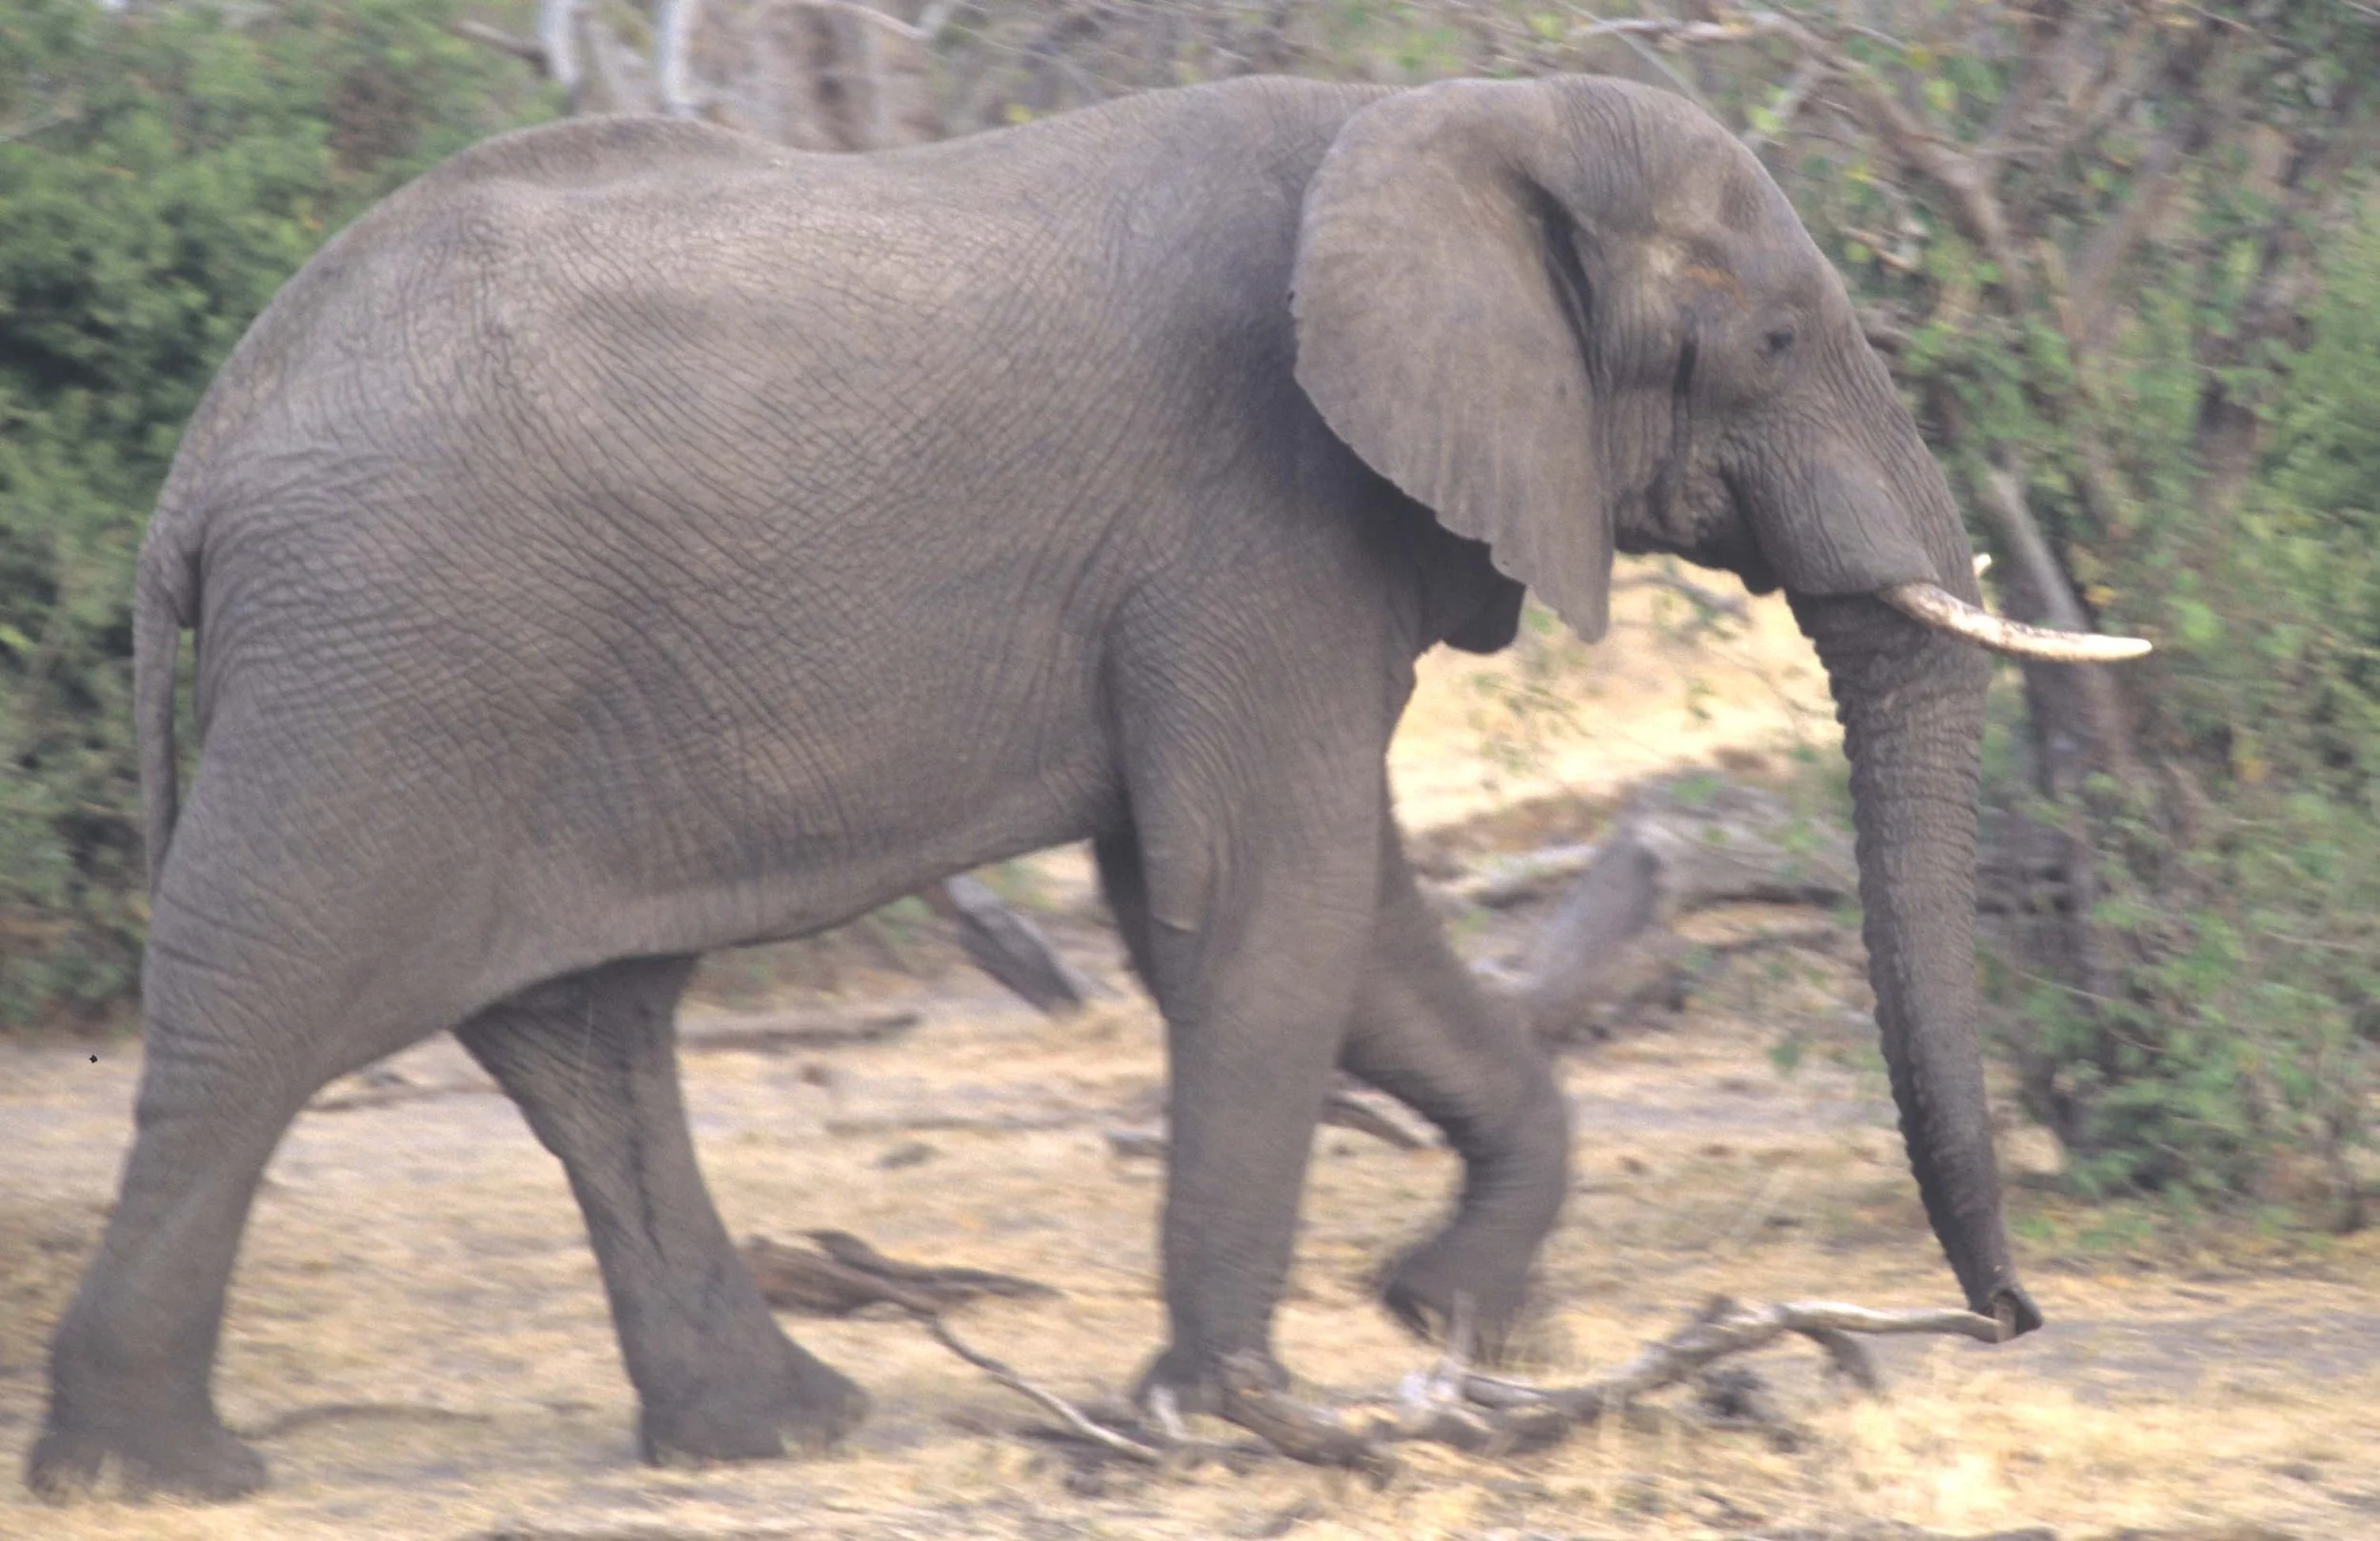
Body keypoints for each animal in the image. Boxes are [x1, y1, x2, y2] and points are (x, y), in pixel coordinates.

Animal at [28, 72, 2144, 1500]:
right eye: (1774, 336)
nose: (2001, 1319)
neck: (1445, 120)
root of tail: (203, 454)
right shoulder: (1258, 509)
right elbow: (1263, 900)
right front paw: (1222, 1414)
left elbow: (1321, 916)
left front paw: (1443, 1313)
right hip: (387, 662)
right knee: (264, 1003)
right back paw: (155, 1476)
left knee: (583, 1033)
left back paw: (774, 1433)